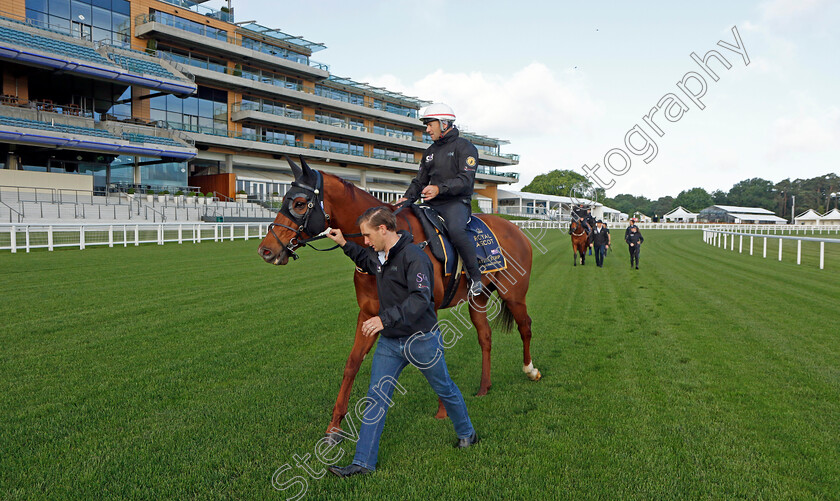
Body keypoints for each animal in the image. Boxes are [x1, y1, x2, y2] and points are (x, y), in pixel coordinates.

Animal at [260, 156, 540, 442]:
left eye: (299, 203)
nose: (265, 250)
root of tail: (515, 228)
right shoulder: (370, 314)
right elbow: (352, 364)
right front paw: (334, 427)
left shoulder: (427, 310)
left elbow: (435, 357)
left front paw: (443, 411)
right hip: (478, 300)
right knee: (485, 336)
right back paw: (484, 386)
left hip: (514, 295)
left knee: (525, 326)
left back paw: (530, 370)